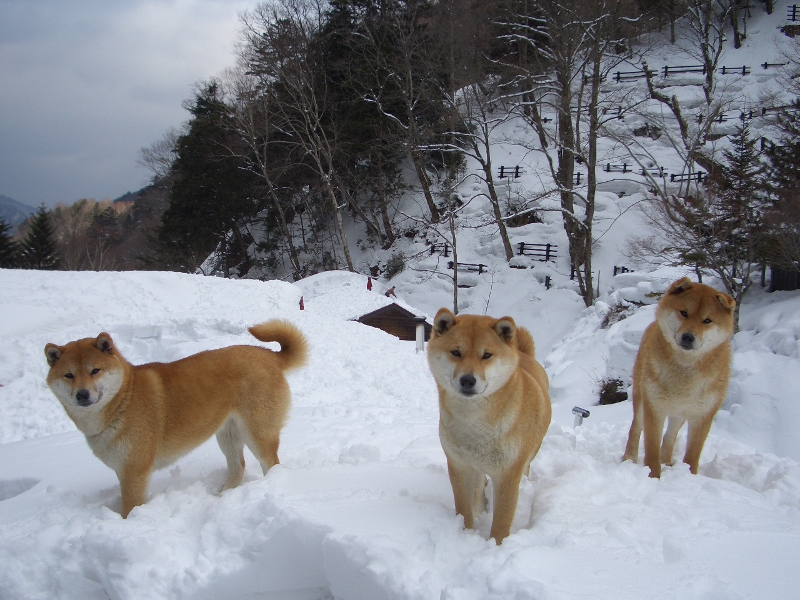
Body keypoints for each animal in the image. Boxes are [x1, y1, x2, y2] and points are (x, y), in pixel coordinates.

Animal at [44, 322, 306, 516]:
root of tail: (271, 356)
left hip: (257, 433)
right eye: (68, 375)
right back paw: (222, 496)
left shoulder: (134, 472)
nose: (82, 394)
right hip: (228, 435)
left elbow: (130, 509)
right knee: (237, 467)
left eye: (95, 370)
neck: (123, 400)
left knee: (271, 464)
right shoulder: (123, 470)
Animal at [432, 310, 552, 544]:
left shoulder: (508, 474)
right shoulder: (460, 465)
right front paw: (465, 536)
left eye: (486, 355)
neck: (473, 424)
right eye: (456, 352)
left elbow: (502, 521)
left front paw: (497, 546)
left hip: (527, 457)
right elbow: (463, 508)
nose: (467, 380)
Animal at [624, 276, 736, 478]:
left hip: (680, 413)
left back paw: (667, 461)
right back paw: (629, 459)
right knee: (636, 428)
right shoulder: (655, 407)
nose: (688, 337)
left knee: (670, 436)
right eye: (684, 313)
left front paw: (689, 476)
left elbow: (692, 454)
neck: (685, 370)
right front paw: (653, 476)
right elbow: (651, 449)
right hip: (641, 398)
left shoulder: (703, 415)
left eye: (707, 320)